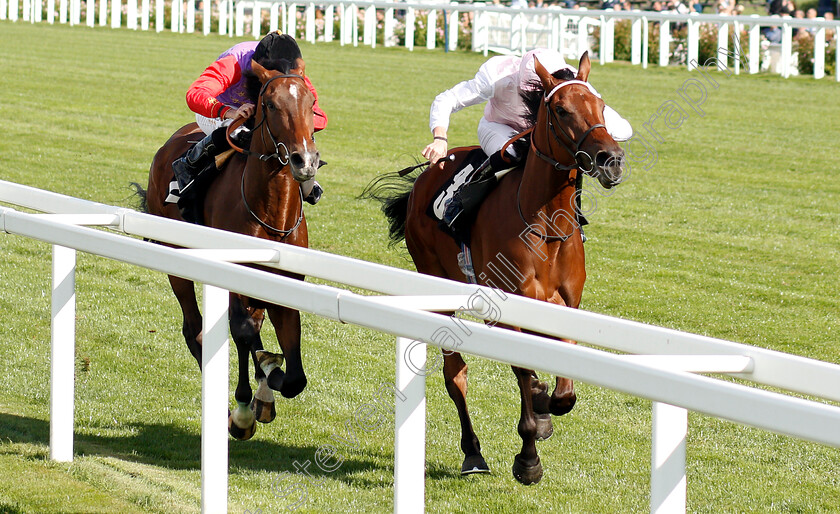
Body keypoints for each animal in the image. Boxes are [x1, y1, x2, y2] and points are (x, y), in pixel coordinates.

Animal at [140, 59, 318, 436]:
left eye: (311, 103)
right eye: (270, 104)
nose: (304, 160)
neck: (271, 212)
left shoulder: (285, 286)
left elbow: (294, 375)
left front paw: (268, 382)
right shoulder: (233, 277)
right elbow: (243, 332)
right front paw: (244, 410)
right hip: (176, 260)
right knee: (196, 330)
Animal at [366, 53, 624, 484]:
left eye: (601, 106)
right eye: (561, 109)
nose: (611, 160)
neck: (546, 223)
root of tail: (425, 177)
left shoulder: (567, 305)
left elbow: (564, 392)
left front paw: (545, 406)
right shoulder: (511, 306)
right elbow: (523, 373)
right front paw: (529, 458)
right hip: (437, 283)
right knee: (455, 373)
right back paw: (472, 452)